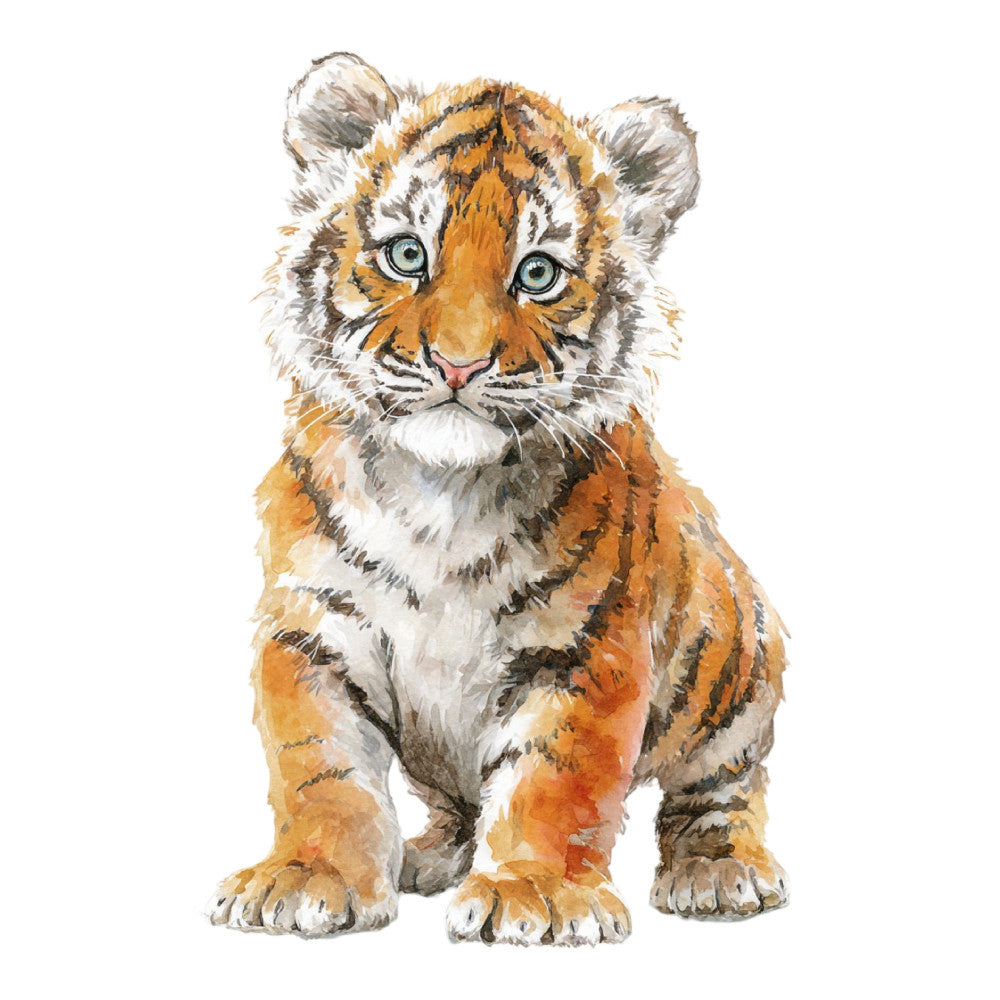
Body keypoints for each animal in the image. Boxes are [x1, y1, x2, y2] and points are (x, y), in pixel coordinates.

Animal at [207, 52, 788, 945]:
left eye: (538, 274)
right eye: (407, 255)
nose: (457, 364)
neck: (439, 497)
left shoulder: (587, 647)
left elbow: (556, 779)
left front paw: (535, 895)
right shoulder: (311, 629)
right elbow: (322, 769)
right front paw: (309, 877)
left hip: (736, 663)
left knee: (721, 789)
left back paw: (718, 874)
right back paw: (428, 859)